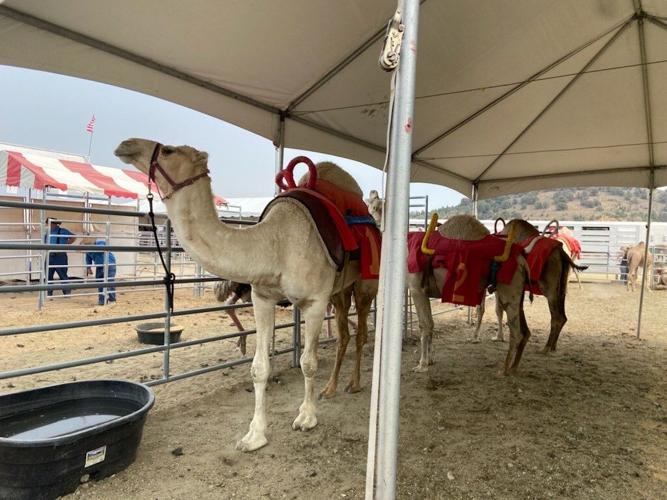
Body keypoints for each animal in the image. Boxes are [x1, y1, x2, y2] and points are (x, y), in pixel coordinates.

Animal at [115, 138, 375, 452]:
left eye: (167, 150)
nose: (125, 145)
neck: (274, 244)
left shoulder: (314, 301)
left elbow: (308, 363)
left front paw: (306, 418)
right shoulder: (262, 297)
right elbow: (259, 367)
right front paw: (254, 436)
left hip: (366, 283)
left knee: (361, 332)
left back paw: (354, 384)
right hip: (339, 291)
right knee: (344, 335)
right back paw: (331, 388)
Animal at [407, 214, 531, 375]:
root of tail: (523, 261)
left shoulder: (416, 289)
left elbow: (425, 324)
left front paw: (421, 365)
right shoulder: (425, 291)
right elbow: (431, 323)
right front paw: (430, 360)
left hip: (510, 289)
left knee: (516, 331)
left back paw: (504, 370)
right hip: (518, 293)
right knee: (525, 330)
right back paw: (514, 367)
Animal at [475, 219, 585, 353]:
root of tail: (562, 253)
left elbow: (487, 309)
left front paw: (477, 337)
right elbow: (499, 310)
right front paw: (498, 337)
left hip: (550, 289)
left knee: (557, 317)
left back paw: (546, 348)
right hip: (562, 285)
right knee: (563, 316)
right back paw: (553, 347)